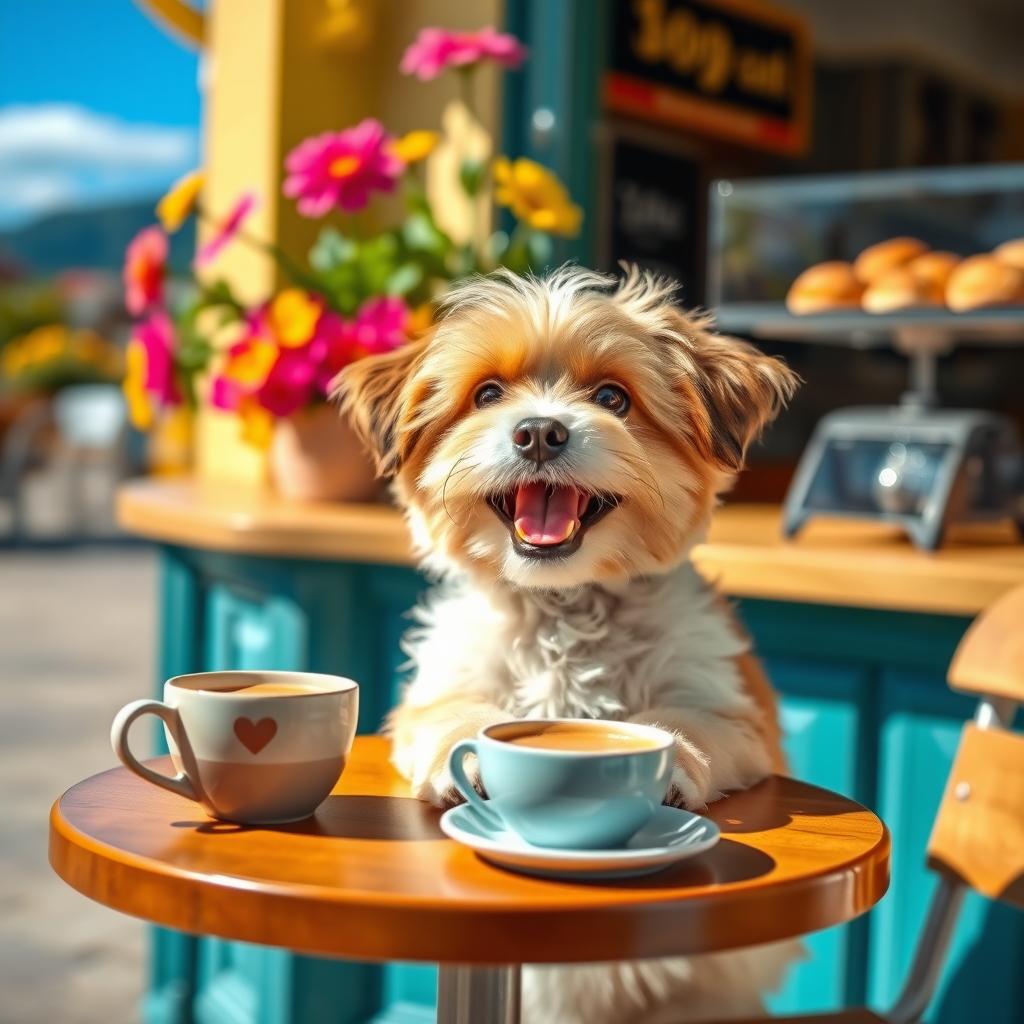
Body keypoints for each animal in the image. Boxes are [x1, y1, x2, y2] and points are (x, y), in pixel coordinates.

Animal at [335, 266, 798, 1024]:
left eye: (612, 397)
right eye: (487, 394)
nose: (539, 432)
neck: (565, 604)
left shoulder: (727, 703)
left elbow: (685, 722)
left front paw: (668, 764)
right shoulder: (436, 691)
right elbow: (457, 715)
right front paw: (469, 757)